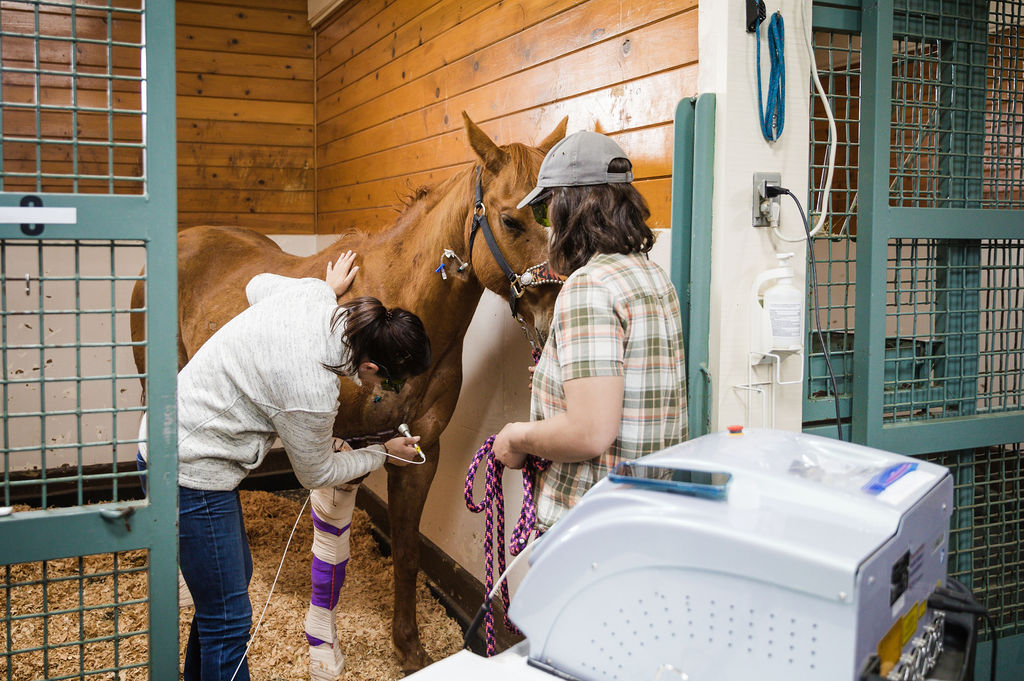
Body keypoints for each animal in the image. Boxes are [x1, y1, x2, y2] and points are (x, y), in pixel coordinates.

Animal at [130, 112, 569, 667]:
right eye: (512, 221)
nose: (554, 318)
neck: (398, 303)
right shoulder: (339, 443)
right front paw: (327, 649)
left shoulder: (419, 451)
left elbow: (407, 551)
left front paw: (409, 646)